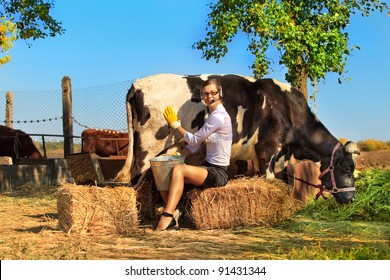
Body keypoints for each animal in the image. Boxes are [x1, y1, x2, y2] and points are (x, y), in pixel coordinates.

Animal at [116, 73, 360, 205]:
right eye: (348, 168)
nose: (352, 199)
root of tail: (137, 84)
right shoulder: (268, 150)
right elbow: (268, 178)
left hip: (166, 148)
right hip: (147, 147)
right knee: (134, 177)